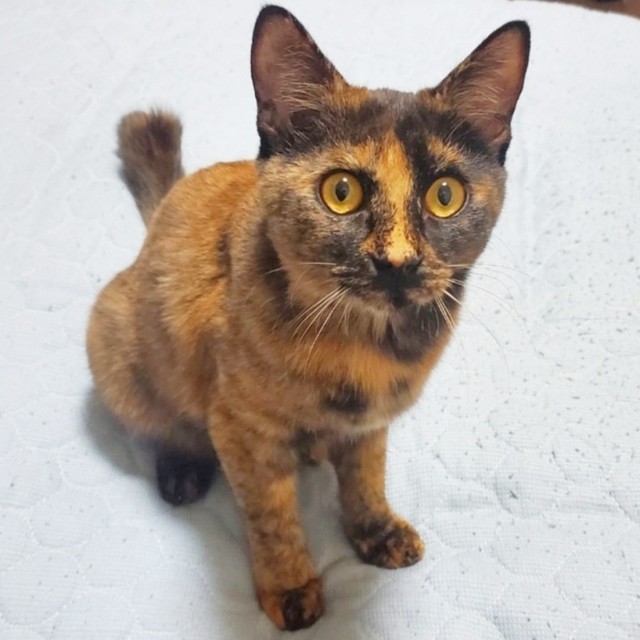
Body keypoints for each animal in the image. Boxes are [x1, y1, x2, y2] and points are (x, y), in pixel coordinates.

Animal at [87, 5, 530, 631]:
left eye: (445, 196)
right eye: (341, 192)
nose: (397, 263)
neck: (364, 347)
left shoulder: (372, 424)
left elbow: (366, 477)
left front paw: (376, 532)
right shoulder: (242, 430)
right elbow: (271, 519)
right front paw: (291, 588)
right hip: (117, 343)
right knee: (162, 421)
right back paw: (182, 472)